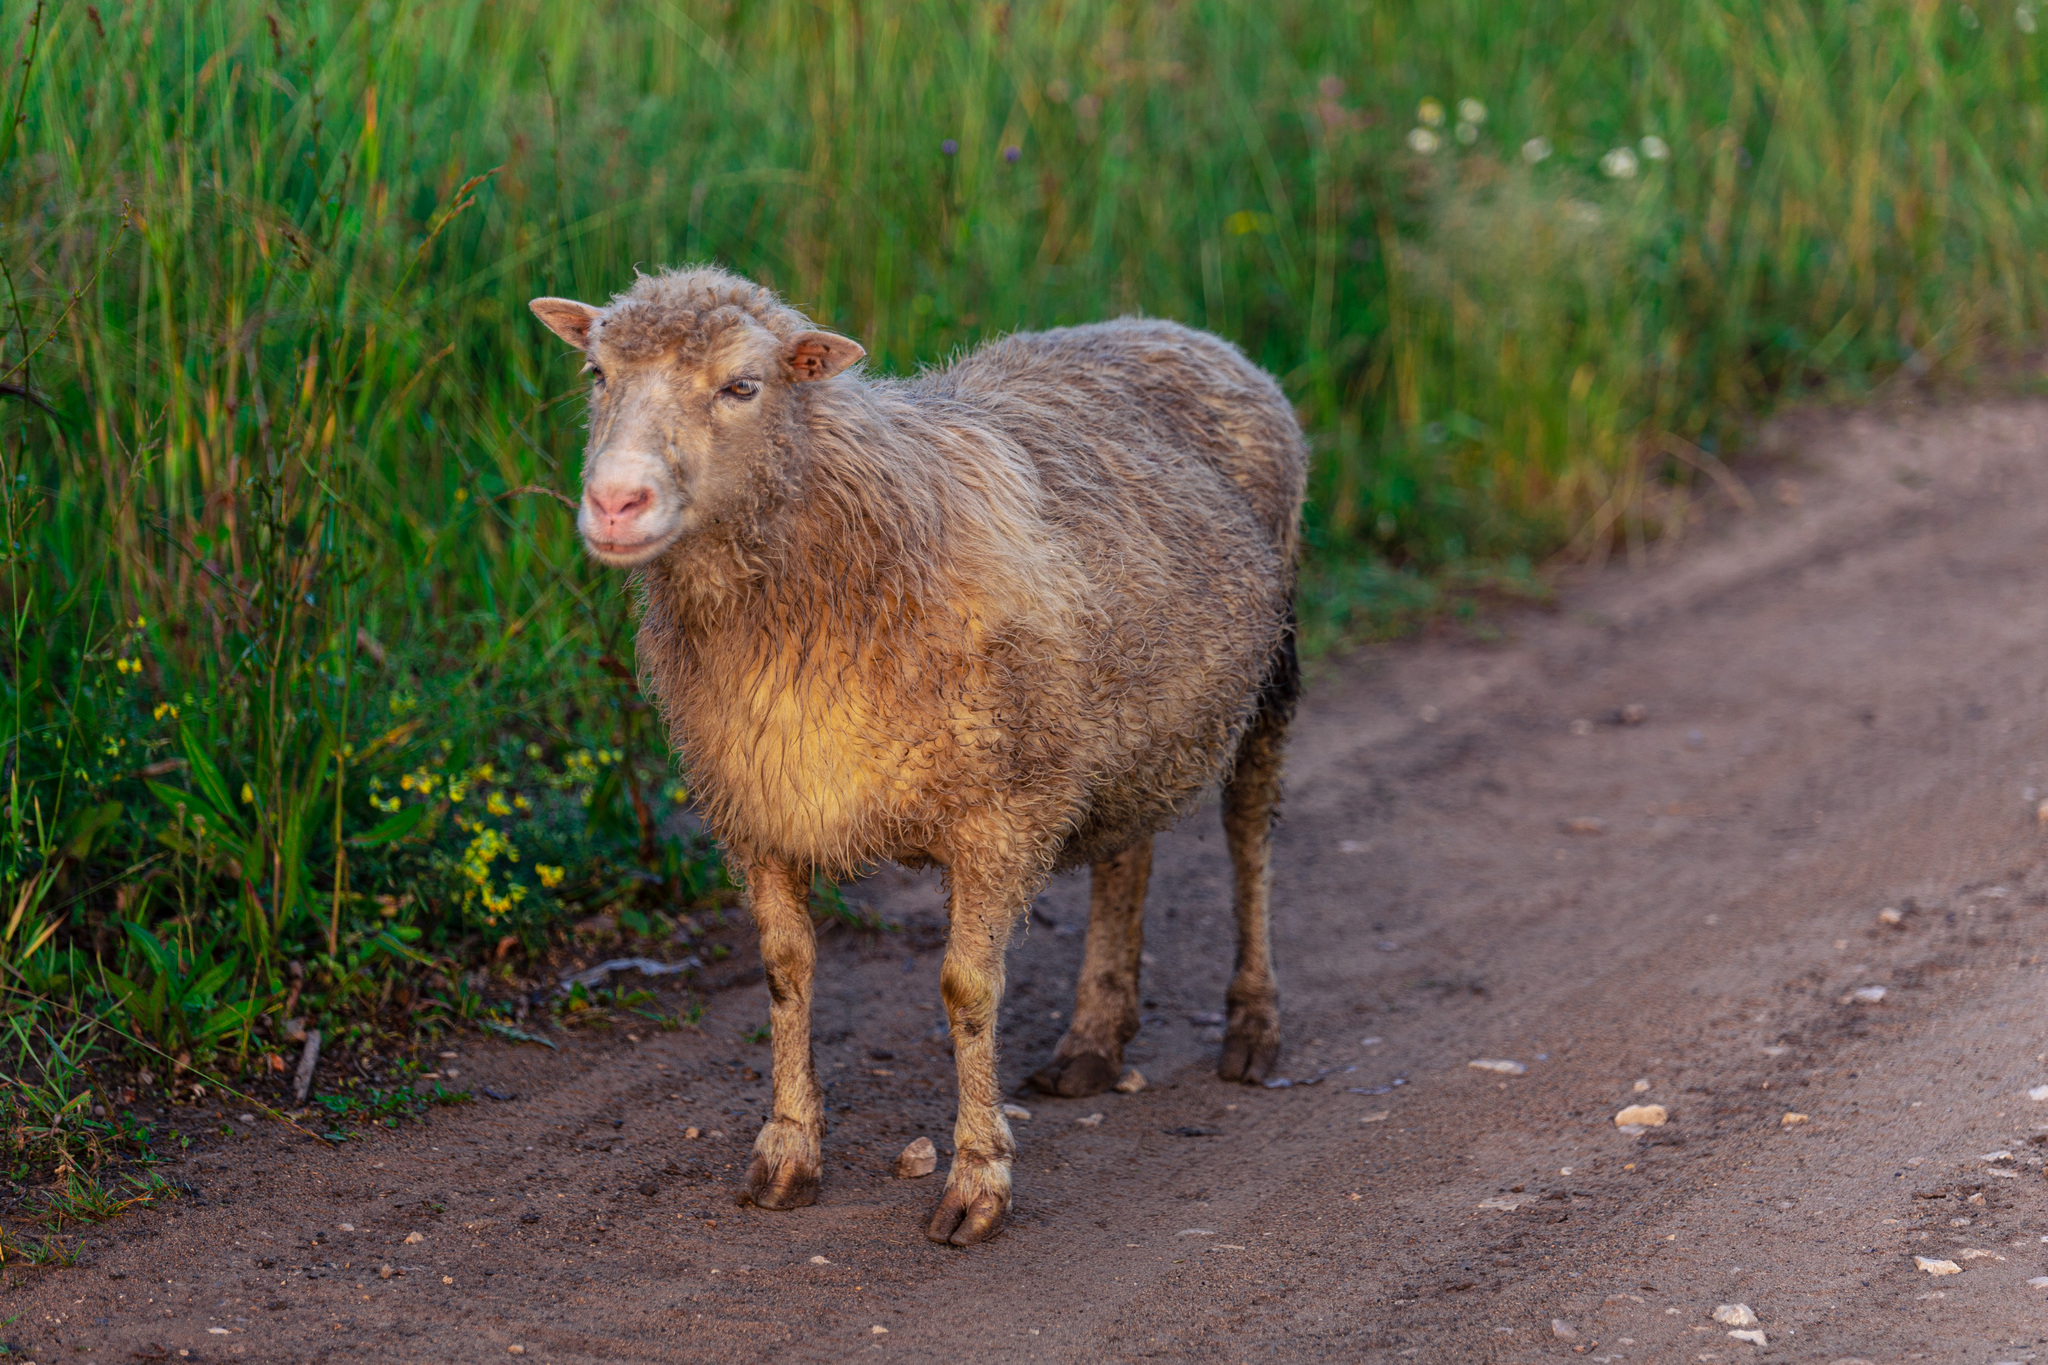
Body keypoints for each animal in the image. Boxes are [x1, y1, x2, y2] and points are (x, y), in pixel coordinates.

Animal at [524, 266, 1294, 1252]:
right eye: (596, 375)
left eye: (742, 385)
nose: (615, 504)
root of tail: (1177, 328)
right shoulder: (758, 804)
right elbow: (786, 973)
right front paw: (788, 1151)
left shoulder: (1002, 810)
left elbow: (967, 989)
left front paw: (978, 1180)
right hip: (1121, 719)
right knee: (1128, 855)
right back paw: (1092, 1040)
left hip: (1269, 671)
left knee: (1248, 831)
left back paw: (1253, 1026)